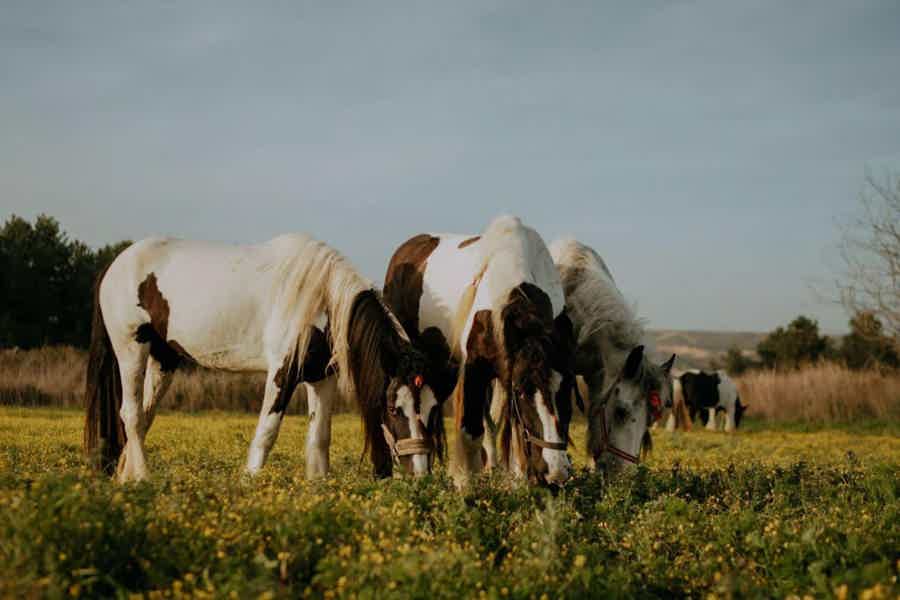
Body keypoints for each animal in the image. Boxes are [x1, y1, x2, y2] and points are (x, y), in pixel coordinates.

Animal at [83, 234, 441, 483]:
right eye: (394, 408)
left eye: (428, 408)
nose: (421, 473)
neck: (321, 298)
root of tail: (114, 265)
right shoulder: (282, 373)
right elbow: (267, 432)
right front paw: (250, 483)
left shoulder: (320, 378)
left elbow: (320, 438)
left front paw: (319, 486)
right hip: (132, 349)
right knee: (130, 414)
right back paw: (143, 478)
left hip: (164, 359)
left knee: (144, 417)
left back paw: (127, 477)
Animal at [383, 216, 579, 487]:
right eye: (521, 392)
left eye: (567, 388)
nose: (555, 471)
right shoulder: (475, 369)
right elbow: (470, 431)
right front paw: (464, 485)